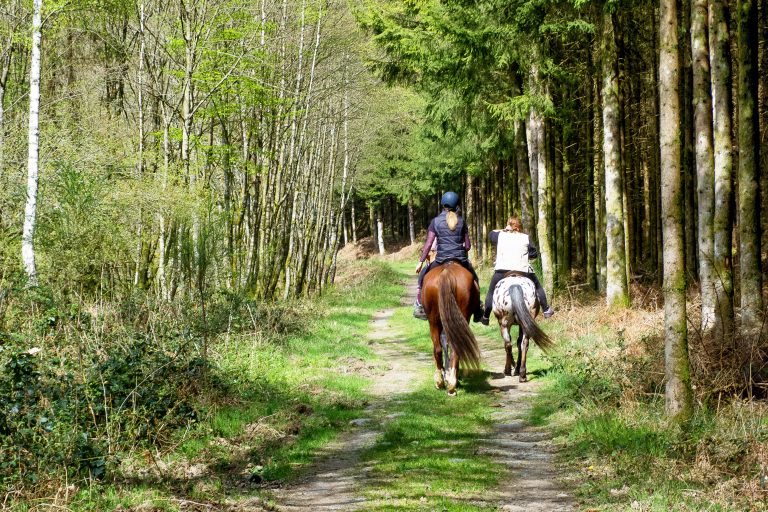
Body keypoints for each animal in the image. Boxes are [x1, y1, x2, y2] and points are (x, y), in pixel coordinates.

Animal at [420, 262, 480, 394]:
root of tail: (446, 273)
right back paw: (450, 382)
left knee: (440, 349)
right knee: (449, 349)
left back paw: (442, 381)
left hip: (434, 322)